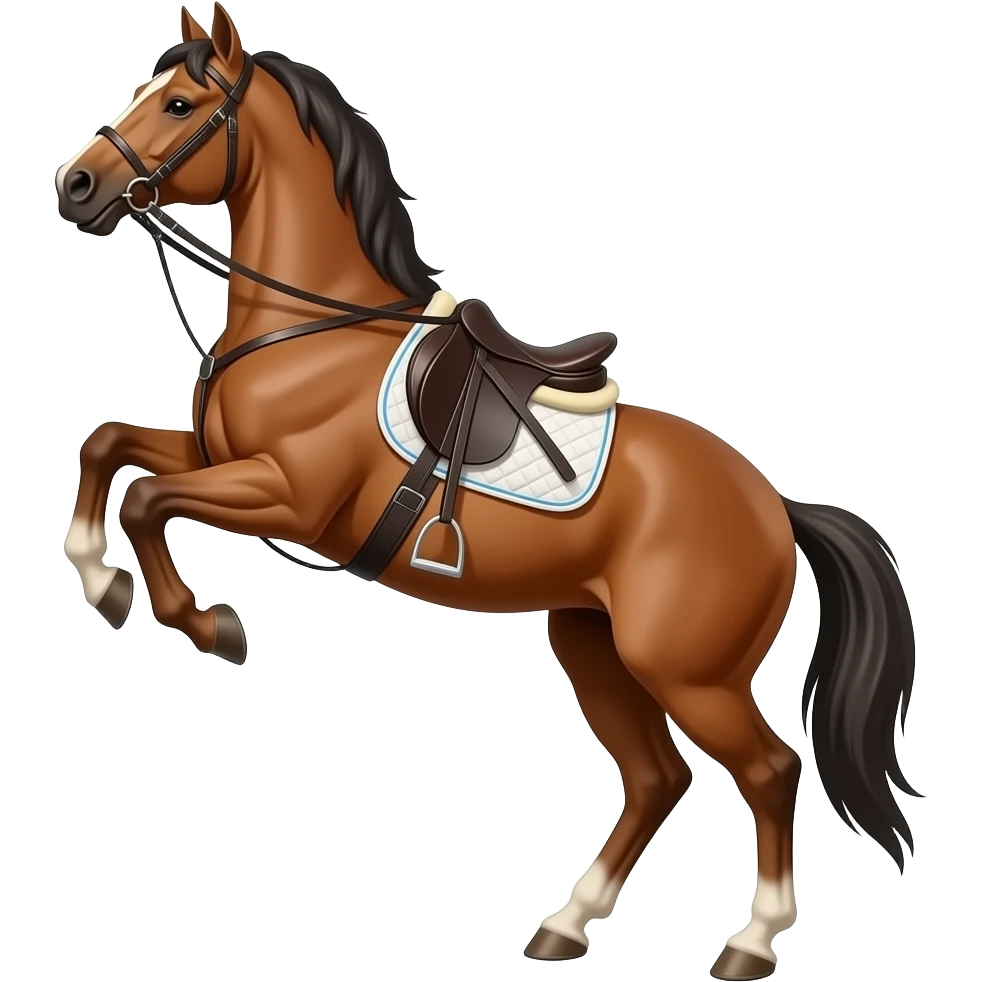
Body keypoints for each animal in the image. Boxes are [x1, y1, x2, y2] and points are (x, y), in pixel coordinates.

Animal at [53, 4, 924, 976]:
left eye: (177, 103)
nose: (76, 186)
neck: (311, 329)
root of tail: (775, 505)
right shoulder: (212, 456)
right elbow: (108, 448)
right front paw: (102, 580)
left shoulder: (288, 498)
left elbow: (145, 499)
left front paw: (206, 624)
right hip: (592, 644)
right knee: (657, 777)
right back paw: (565, 925)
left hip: (687, 671)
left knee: (769, 771)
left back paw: (751, 941)